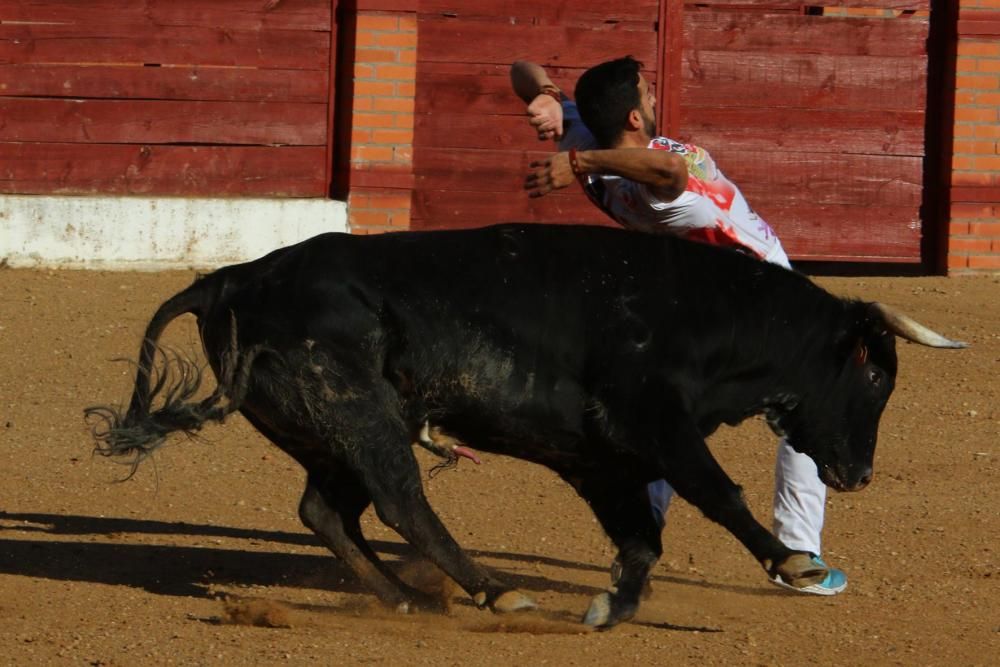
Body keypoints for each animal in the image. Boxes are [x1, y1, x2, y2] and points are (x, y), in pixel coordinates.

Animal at [90, 222, 964, 628]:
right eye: (876, 374)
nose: (859, 475)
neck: (711, 315)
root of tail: (232, 277)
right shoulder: (652, 421)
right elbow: (719, 495)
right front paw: (794, 563)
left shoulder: (602, 458)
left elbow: (642, 537)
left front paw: (612, 608)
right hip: (358, 414)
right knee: (401, 500)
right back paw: (493, 590)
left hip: (333, 427)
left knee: (327, 510)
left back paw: (407, 599)